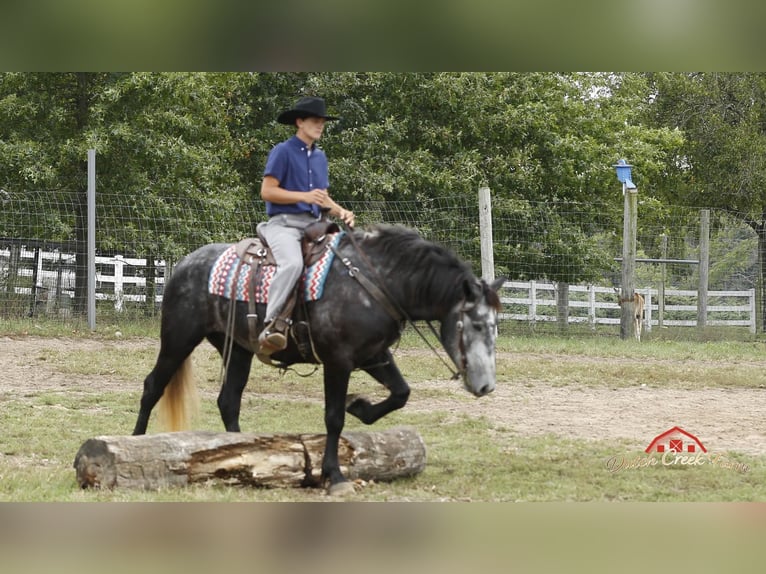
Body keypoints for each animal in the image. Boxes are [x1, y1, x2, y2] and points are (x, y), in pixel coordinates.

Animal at [134, 223, 504, 498]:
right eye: (476, 324)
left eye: (495, 325)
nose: (486, 386)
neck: (375, 282)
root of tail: (184, 264)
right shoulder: (338, 360)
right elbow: (334, 418)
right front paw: (335, 476)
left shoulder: (374, 354)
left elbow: (400, 393)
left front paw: (361, 407)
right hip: (179, 338)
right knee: (153, 386)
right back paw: (136, 446)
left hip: (237, 348)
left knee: (229, 399)